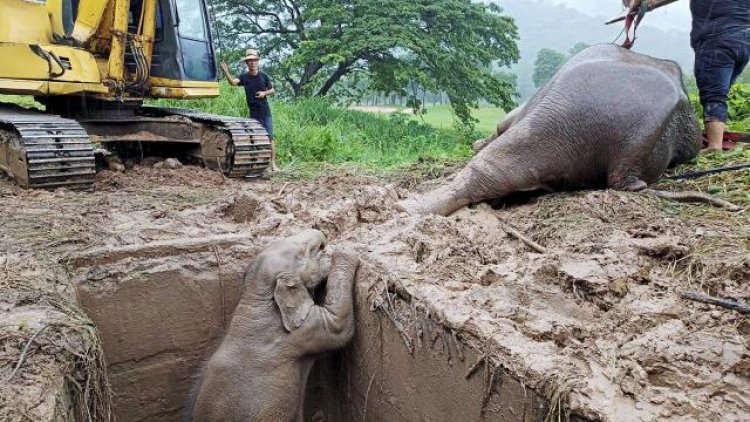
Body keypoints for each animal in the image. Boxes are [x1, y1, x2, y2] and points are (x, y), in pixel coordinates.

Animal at [192, 231, 360, 422]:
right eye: (304, 252)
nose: (323, 238)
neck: (254, 295)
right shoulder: (299, 332)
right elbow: (338, 326)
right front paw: (345, 251)